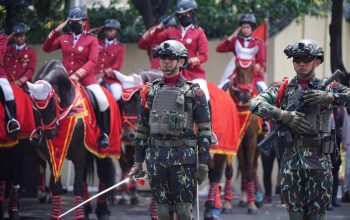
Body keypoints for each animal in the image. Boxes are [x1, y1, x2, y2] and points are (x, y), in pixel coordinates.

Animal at [27, 59, 121, 219]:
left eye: (53, 103)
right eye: (35, 108)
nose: (49, 134)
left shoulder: (79, 153)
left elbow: (76, 186)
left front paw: (80, 216)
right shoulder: (52, 154)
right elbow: (57, 187)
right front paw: (55, 215)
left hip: (102, 150)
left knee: (102, 175)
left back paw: (102, 211)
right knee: (84, 179)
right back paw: (87, 209)